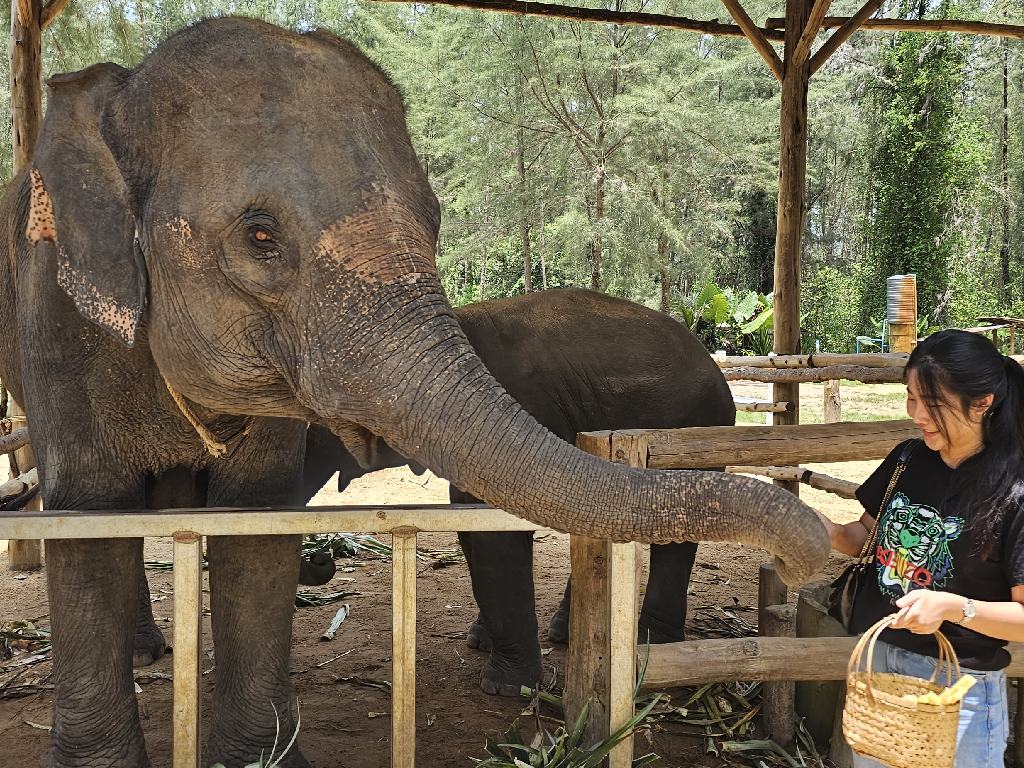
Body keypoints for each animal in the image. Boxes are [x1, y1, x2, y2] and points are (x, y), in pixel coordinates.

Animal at [298, 288, 735, 695]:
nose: (323, 557)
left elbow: (500, 533)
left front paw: (505, 689)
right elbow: (471, 521)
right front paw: (480, 644)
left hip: (697, 430)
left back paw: (652, 643)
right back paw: (568, 633)